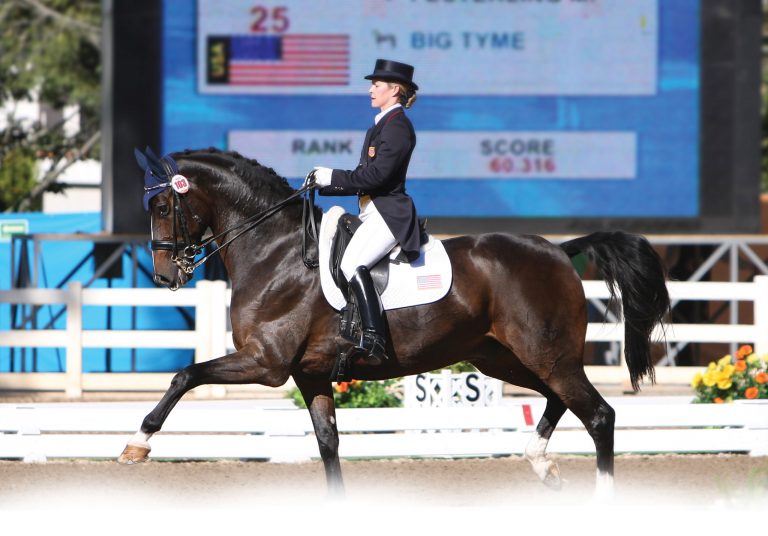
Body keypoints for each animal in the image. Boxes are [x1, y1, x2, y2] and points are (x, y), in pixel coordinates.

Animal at [117, 148, 668, 498]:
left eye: (163, 204)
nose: (165, 274)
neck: (273, 250)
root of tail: (558, 250)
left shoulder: (265, 363)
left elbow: (184, 375)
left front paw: (137, 444)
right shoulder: (308, 374)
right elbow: (328, 443)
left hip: (545, 353)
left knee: (599, 415)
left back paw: (599, 499)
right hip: (505, 357)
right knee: (561, 400)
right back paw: (542, 463)